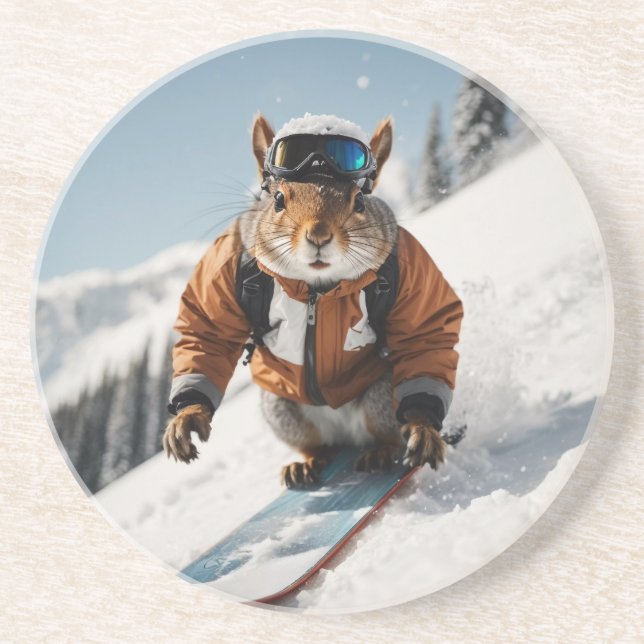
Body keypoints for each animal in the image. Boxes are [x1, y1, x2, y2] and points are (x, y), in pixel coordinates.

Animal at [163, 113, 464, 489]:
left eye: (359, 202)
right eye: (278, 199)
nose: (318, 235)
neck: (315, 291)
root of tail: (345, 432)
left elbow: (426, 330)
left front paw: (423, 428)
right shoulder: (227, 257)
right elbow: (208, 330)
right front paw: (188, 417)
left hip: (382, 397)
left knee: (387, 434)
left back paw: (381, 452)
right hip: (284, 413)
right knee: (318, 446)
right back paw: (305, 465)